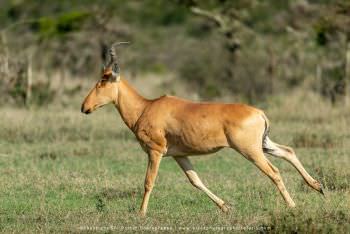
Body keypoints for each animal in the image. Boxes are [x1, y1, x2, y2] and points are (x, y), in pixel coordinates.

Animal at [80, 43, 324, 216]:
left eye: (102, 81)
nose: (84, 107)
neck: (147, 107)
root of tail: (258, 112)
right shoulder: (179, 155)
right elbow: (195, 180)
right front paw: (225, 207)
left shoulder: (155, 152)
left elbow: (149, 182)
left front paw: (141, 213)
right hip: (263, 144)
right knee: (288, 151)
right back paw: (317, 186)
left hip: (249, 150)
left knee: (274, 172)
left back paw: (292, 206)